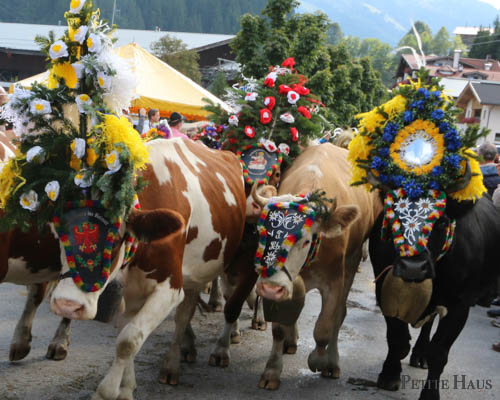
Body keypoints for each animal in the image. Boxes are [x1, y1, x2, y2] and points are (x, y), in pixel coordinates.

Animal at [47, 138, 247, 400]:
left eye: (114, 239)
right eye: (59, 234)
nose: (67, 305)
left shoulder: (170, 288)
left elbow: (129, 340)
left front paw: (107, 391)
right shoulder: (130, 289)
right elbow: (127, 334)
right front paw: (126, 388)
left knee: (190, 315)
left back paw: (176, 363)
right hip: (195, 274)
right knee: (186, 312)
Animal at [209, 143, 380, 388]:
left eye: (306, 240)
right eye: (264, 233)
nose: (270, 288)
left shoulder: (334, 281)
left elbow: (326, 325)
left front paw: (319, 359)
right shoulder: (280, 283)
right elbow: (278, 329)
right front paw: (272, 370)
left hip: (353, 259)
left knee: (340, 315)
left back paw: (332, 361)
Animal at [368, 173, 500, 398]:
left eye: (441, 222)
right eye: (392, 216)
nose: (413, 267)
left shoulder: (460, 306)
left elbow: (439, 353)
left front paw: (430, 394)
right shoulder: (383, 290)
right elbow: (397, 339)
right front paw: (390, 374)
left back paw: (421, 355)